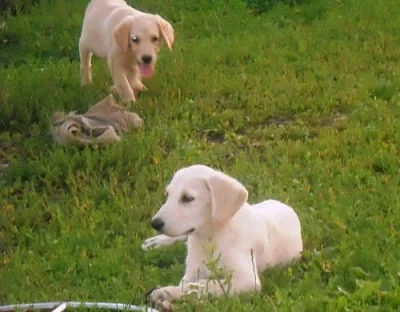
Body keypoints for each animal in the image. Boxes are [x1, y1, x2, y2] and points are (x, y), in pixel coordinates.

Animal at [142, 166, 302, 308]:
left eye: (187, 198)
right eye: (167, 195)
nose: (155, 223)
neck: (210, 237)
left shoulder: (247, 280)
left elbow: (203, 284)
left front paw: (166, 293)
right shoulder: (192, 271)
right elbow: (189, 283)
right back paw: (157, 242)